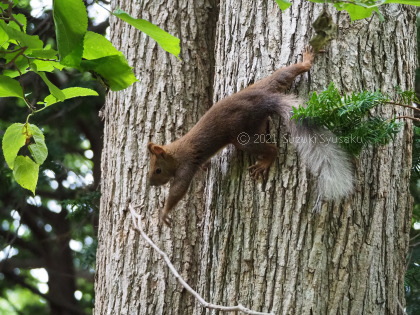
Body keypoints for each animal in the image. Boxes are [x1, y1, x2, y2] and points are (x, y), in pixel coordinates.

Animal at [148, 47, 354, 227]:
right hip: (267, 85)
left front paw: (164, 213)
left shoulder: (186, 165)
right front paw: (205, 167)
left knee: (270, 148)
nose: (151, 184)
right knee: (287, 73)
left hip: (243, 137)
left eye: (158, 170)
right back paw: (306, 61)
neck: (175, 153)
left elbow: (178, 190)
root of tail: (265, 101)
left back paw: (265, 162)